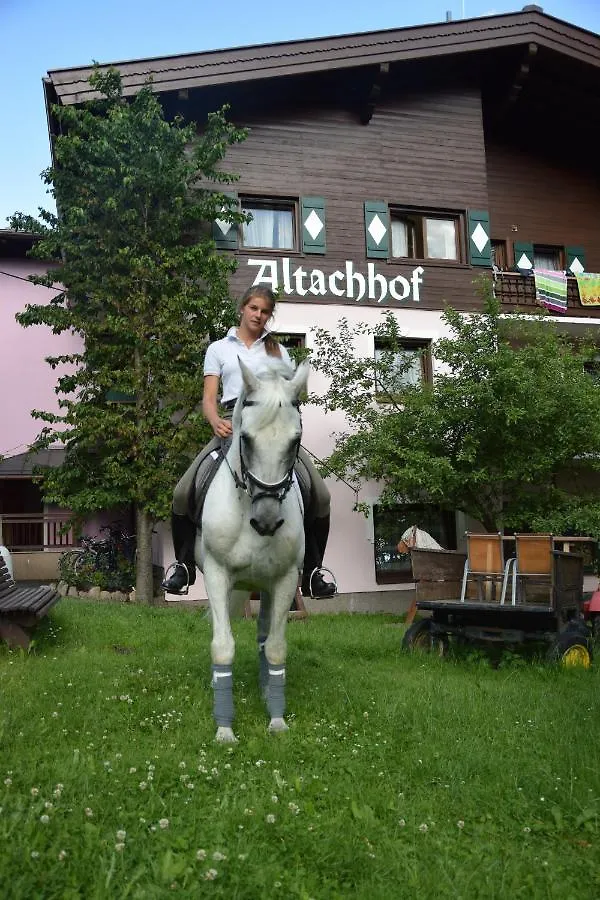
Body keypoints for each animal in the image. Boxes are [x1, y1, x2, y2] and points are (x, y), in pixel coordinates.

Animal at [199, 358, 310, 744]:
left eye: (295, 440)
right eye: (245, 438)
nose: (266, 521)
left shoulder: (285, 580)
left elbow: (275, 647)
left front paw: (276, 720)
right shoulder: (216, 575)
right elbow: (222, 646)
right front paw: (224, 729)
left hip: (265, 587)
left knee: (264, 637)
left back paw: (265, 691)